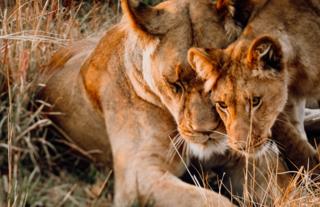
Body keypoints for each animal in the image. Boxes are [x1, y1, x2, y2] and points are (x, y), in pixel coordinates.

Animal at [42, 0, 292, 205]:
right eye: (175, 84)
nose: (206, 132)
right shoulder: (137, 174)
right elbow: (211, 201)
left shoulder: (249, 155)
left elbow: (284, 188)